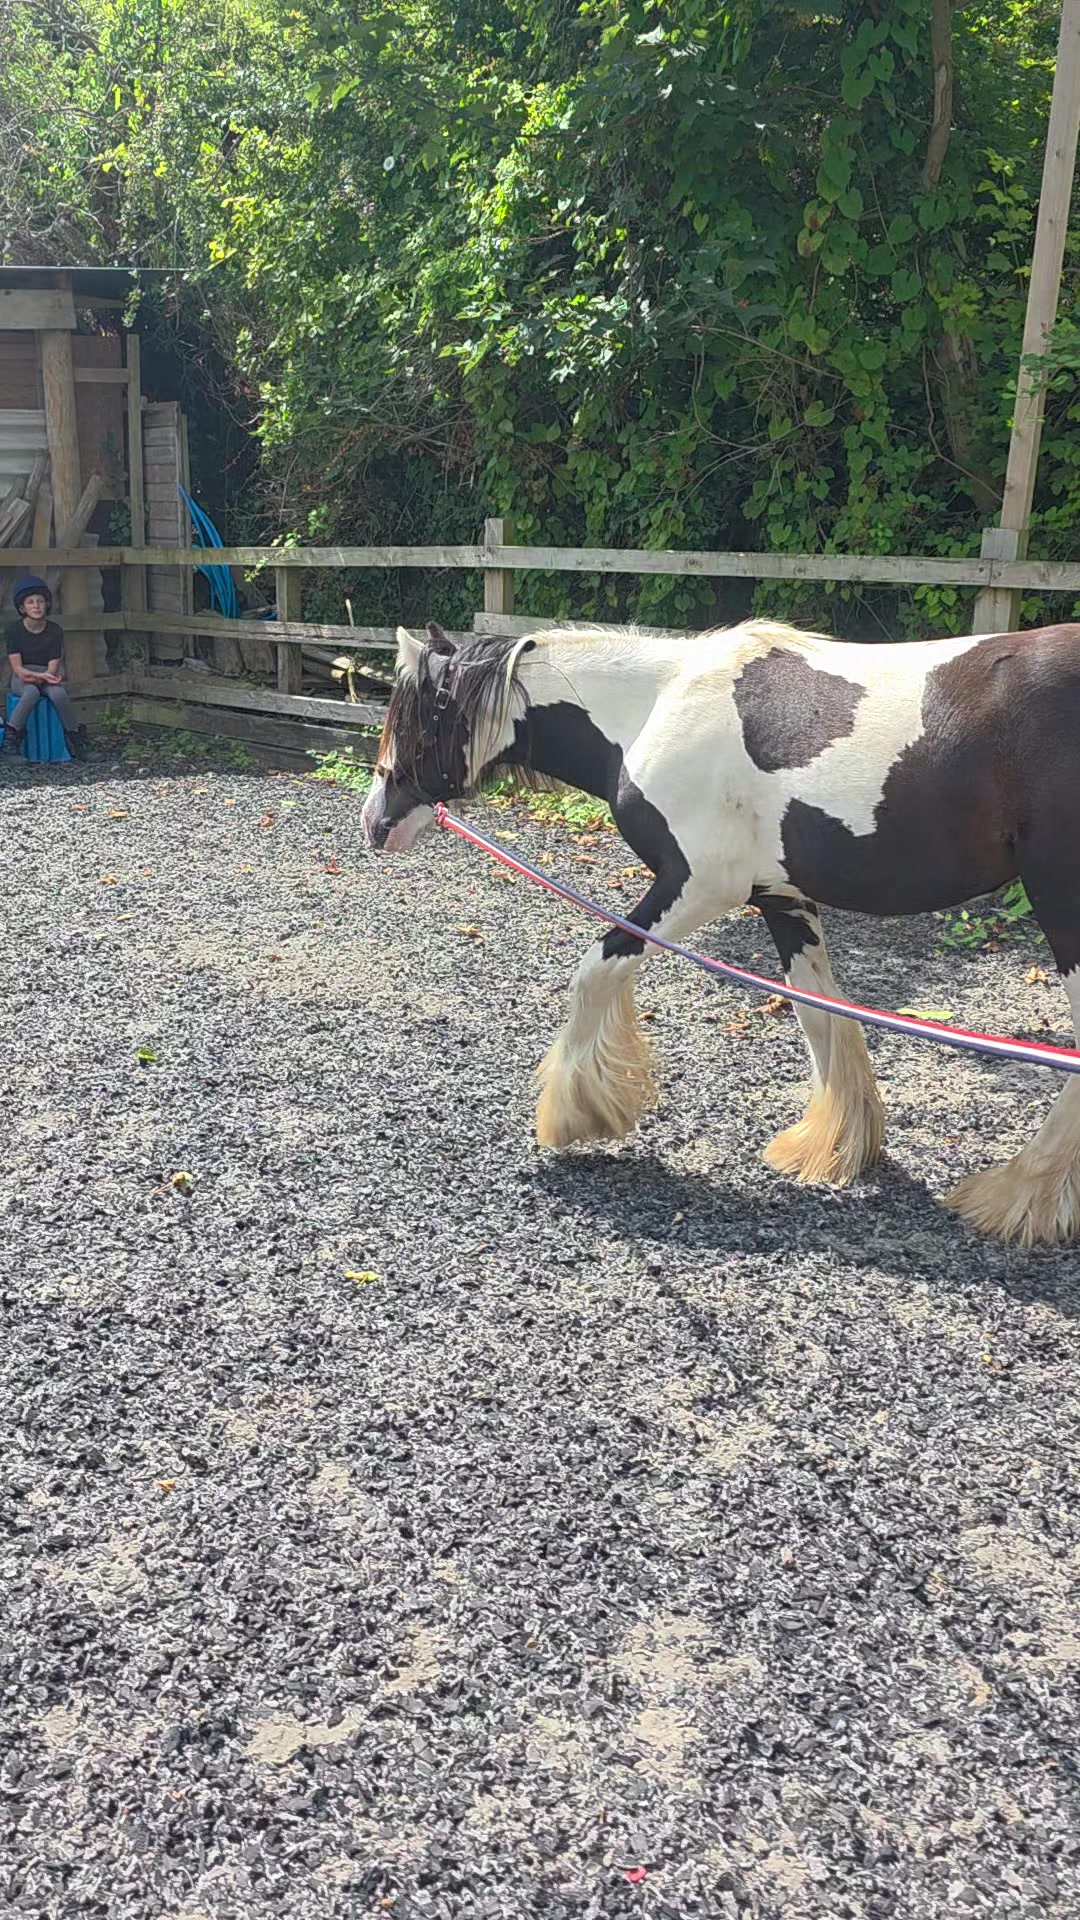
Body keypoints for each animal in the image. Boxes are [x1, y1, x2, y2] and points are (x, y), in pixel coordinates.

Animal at [362, 616, 1080, 1246]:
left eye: (417, 720)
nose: (373, 823)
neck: (655, 708)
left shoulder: (698, 885)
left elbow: (597, 970)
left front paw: (577, 1114)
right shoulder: (782, 898)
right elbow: (818, 1015)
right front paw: (834, 1147)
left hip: (1060, 901)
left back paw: (1020, 1195)